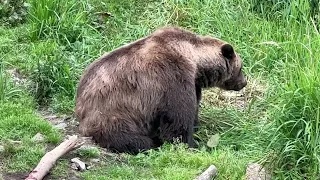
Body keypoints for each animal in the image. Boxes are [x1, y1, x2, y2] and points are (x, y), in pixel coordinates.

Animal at [75, 26, 248, 155]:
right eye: (241, 68)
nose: (244, 82)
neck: (195, 60)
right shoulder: (172, 76)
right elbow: (177, 117)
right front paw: (191, 144)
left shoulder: (193, 82)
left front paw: (196, 128)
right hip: (114, 110)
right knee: (126, 136)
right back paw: (150, 143)